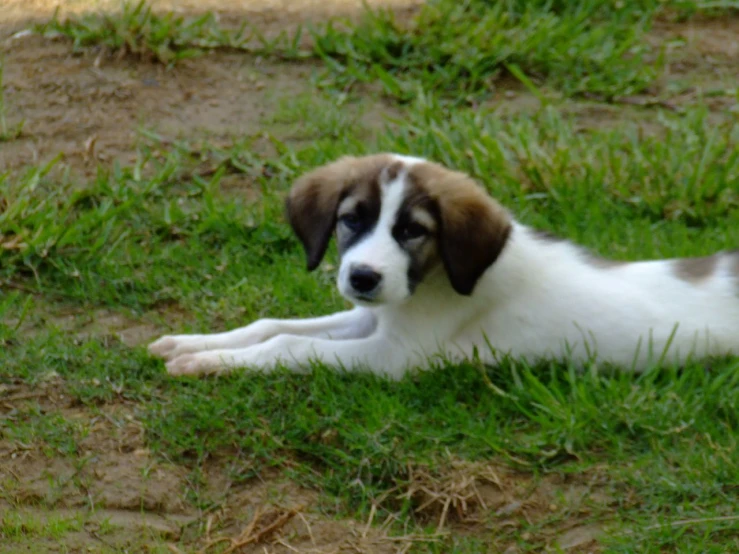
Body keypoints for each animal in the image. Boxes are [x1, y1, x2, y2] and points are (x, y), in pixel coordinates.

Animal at [150, 152, 739, 376]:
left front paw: (209, 363)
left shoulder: (396, 355)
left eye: (413, 231)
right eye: (350, 220)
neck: (430, 282)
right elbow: (272, 325)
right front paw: (194, 345)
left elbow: (290, 345)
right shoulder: (371, 316)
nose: (362, 277)